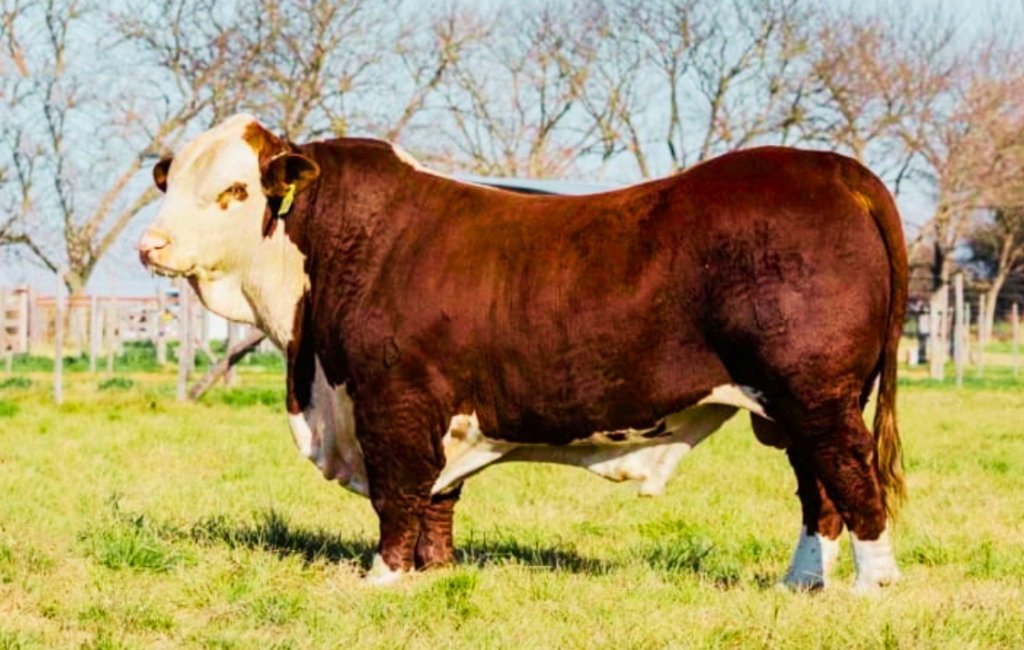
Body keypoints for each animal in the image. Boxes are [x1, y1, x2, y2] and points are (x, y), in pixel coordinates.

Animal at [138, 114, 907, 592]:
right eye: (173, 185)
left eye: (235, 190)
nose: (151, 245)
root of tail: (832, 169)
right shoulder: (440, 414)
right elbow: (438, 499)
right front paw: (437, 574)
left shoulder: (393, 402)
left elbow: (398, 495)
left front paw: (383, 577)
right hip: (789, 407)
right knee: (819, 494)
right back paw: (800, 584)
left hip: (817, 396)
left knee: (855, 480)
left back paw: (871, 589)